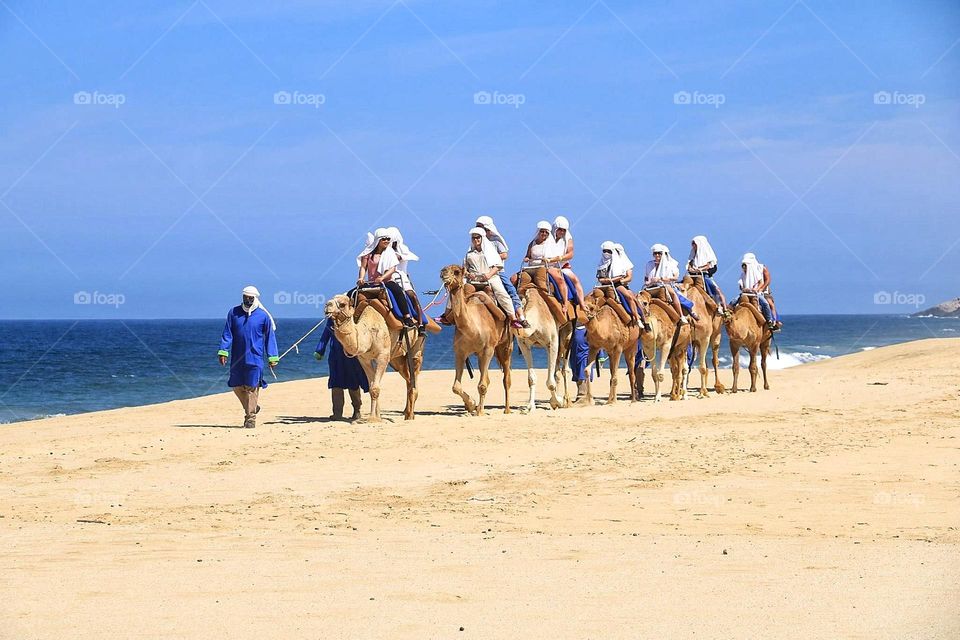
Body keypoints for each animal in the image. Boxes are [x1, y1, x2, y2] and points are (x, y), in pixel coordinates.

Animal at [323, 293, 425, 422]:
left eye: (342, 304)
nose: (327, 306)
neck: (369, 332)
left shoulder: (383, 355)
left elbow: (375, 388)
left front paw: (373, 419)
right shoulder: (364, 359)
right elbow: (371, 387)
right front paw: (377, 416)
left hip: (417, 345)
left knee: (414, 372)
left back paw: (410, 416)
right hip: (396, 359)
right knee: (408, 378)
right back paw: (407, 413)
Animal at [439, 264, 513, 415]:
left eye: (457, 271)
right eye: (445, 268)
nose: (443, 273)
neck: (472, 328)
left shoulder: (488, 350)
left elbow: (482, 385)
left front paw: (480, 412)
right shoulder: (460, 352)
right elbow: (456, 387)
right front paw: (472, 405)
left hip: (505, 346)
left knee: (506, 378)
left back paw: (507, 410)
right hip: (482, 355)